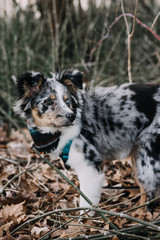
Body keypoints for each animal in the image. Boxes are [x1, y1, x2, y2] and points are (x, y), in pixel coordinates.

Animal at [14, 70, 160, 212]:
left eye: (68, 100)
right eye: (49, 102)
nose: (71, 116)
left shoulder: (90, 166)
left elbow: (86, 203)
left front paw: (85, 218)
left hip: (144, 157)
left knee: (148, 194)